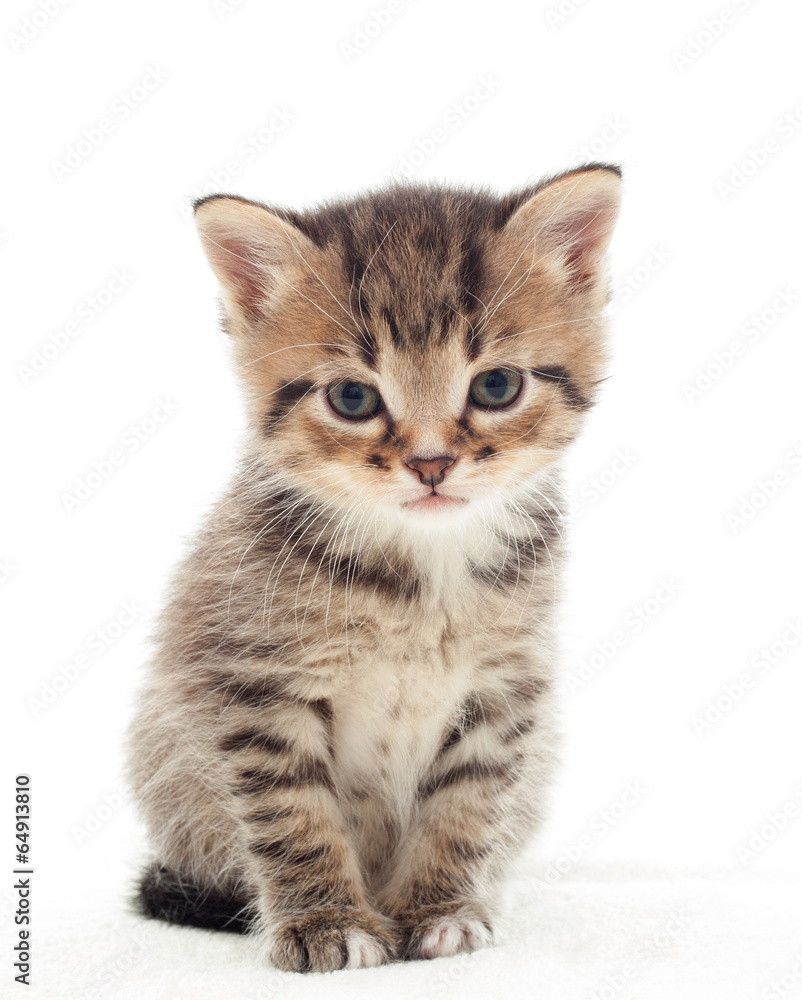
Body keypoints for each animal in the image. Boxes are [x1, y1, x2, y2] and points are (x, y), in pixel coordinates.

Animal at [128, 168, 620, 972]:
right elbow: (294, 817)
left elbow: (465, 806)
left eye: (496, 387)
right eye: (352, 398)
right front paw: (324, 923)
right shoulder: (259, 686)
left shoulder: (502, 691)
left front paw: (439, 910)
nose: (431, 463)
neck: (418, 576)